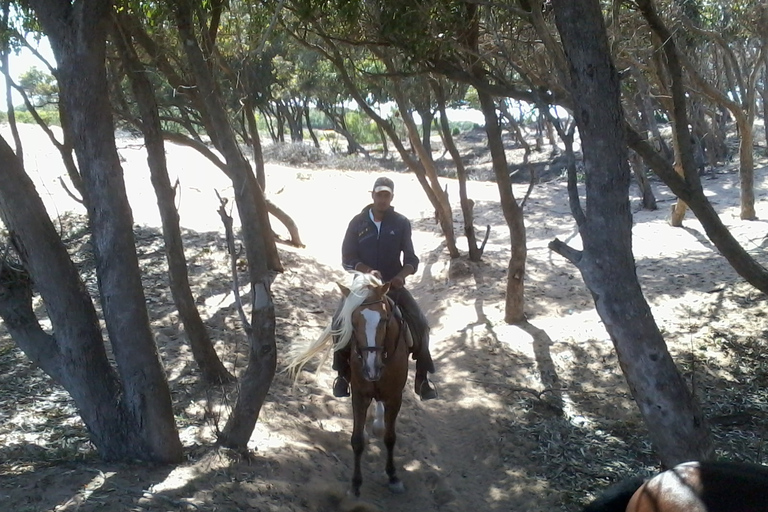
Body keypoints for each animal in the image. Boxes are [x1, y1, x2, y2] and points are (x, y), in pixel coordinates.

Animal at [284, 274, 412, 498]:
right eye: (353, 321)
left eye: (384, 319)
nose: (371, 367)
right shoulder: (360, 395)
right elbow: (357, 440)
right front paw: (355, 485)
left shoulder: (395, 396)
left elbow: (390, 437)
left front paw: (393, 477)